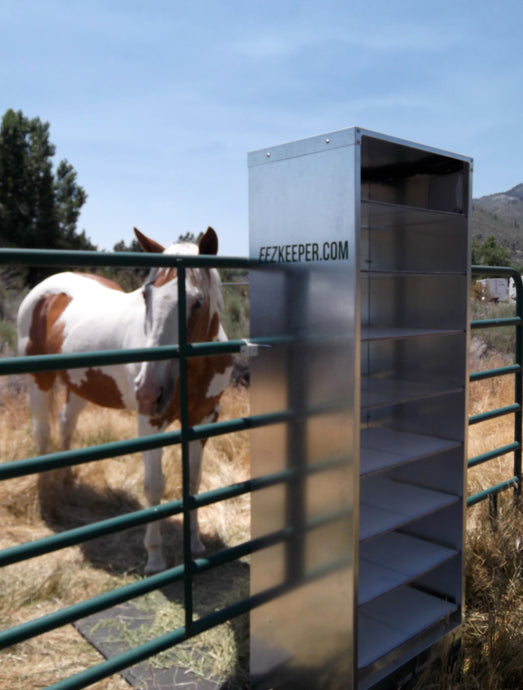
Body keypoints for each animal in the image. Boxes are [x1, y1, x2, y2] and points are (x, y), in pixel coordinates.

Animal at [16, 226, 233, 568]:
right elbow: (154, 486)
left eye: (197, 302)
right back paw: (48, 505)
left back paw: (65, 484)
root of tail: (45, 290)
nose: (148, 390)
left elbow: (194, 482)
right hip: (40, 381)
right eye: (146, 295)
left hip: (80, 384)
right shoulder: (151, 422)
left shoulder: (204, 418)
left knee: (66, 423)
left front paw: (196, 544)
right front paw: (155, 558)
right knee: (42, 434)